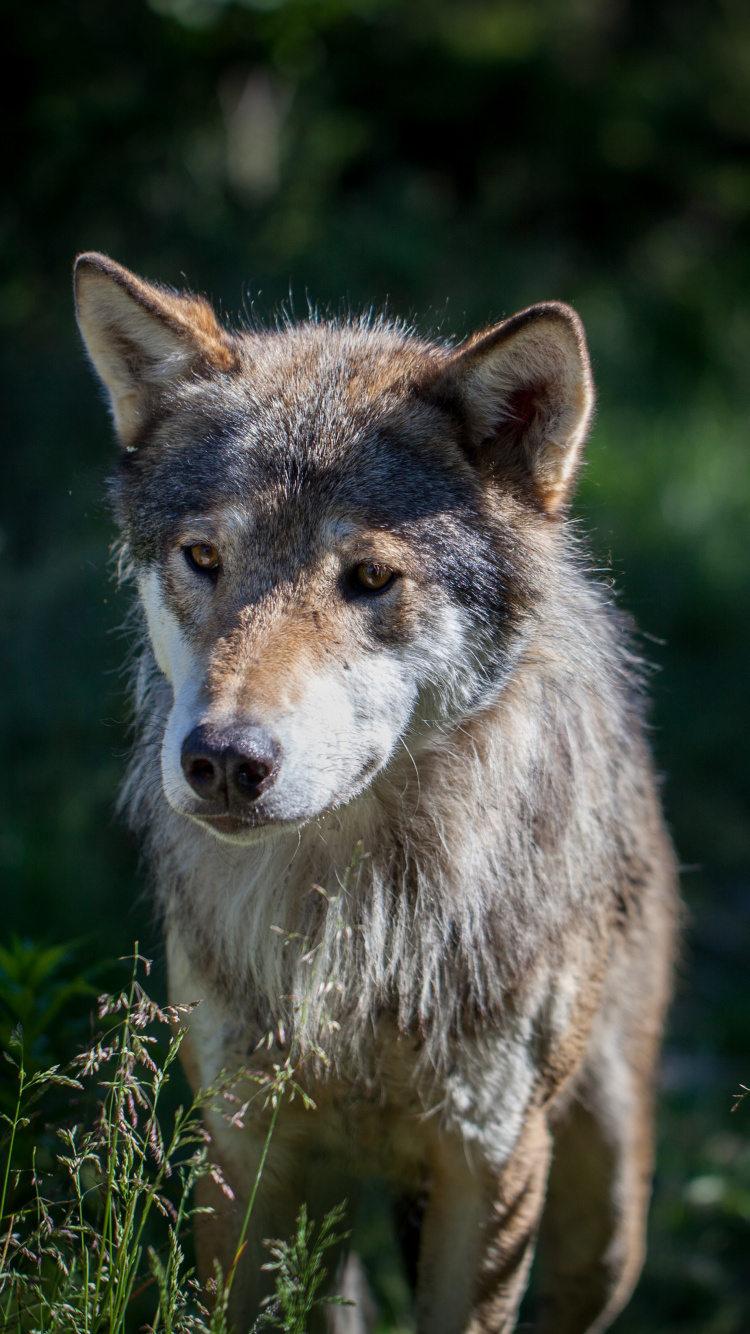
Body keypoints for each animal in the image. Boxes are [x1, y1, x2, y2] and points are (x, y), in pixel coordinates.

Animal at [74, 251, 677, 1334]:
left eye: (366, 577)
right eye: (203, 558)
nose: (224, 758)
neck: (359, 921)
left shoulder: (492, 1159)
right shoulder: (247, 1151)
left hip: (604, 1216)